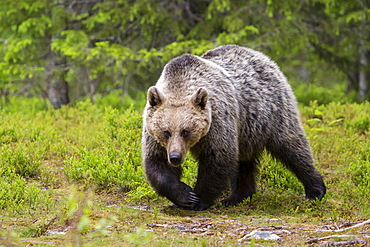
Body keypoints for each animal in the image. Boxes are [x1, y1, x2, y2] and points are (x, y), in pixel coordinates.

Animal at [142, 44, 326, 210]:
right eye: (166, 132)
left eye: (185, 131)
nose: (175, 157)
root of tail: (261, 56)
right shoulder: (154, 134)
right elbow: (157, 164)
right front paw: (184, 196)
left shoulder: (218, 122)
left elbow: (218, 158)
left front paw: (198, 199)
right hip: (247, 131)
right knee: (244, 162)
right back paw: (237, 196)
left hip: (273, 112)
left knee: (292, 146)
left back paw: (315, 190)